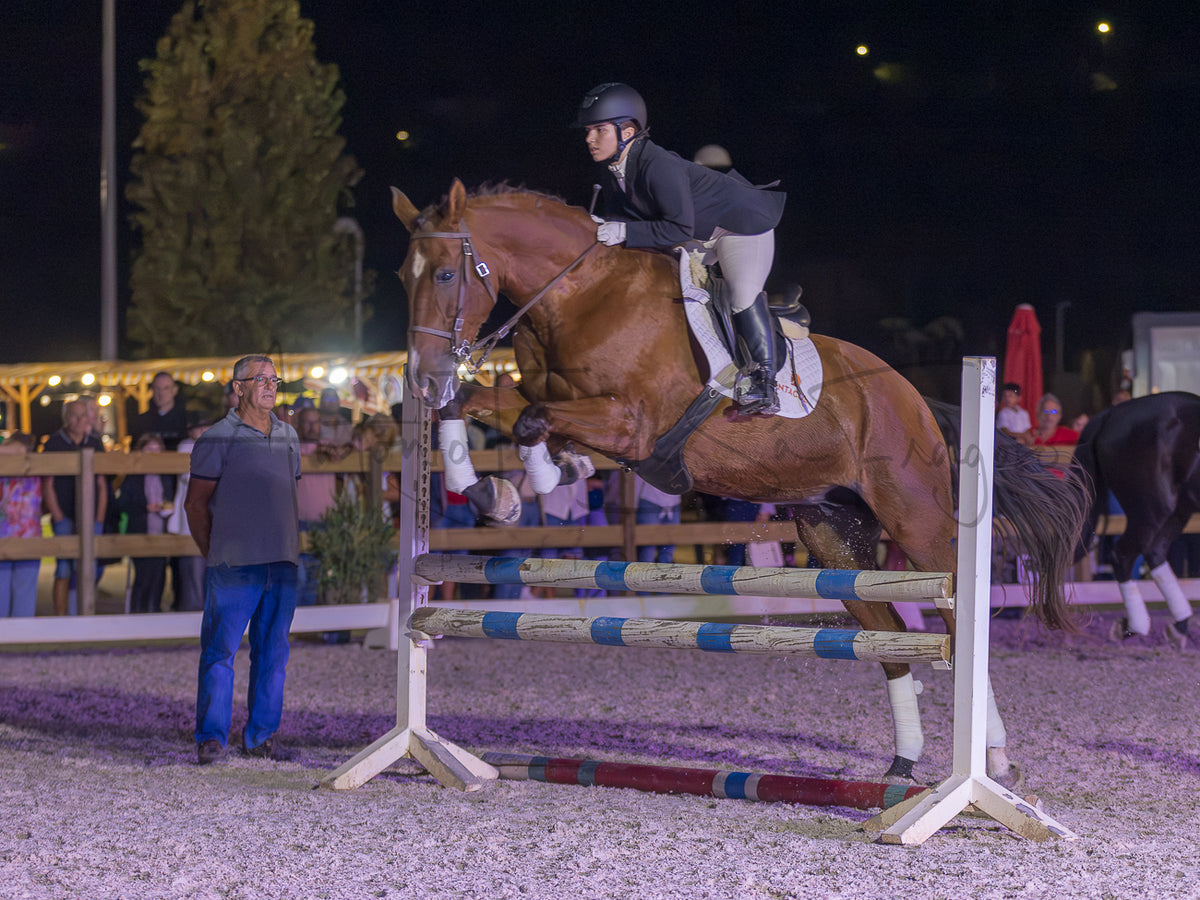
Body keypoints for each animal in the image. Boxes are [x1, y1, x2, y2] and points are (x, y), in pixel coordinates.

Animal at [392, 178, 1088, 785]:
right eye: (405, 276)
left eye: (447, 274)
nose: (421, 376)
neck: (581, 296)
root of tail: (914, 396)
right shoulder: (550, 401)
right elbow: (491, 406)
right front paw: (497, 487)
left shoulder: (632, 425)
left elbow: (534, 421)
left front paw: (531, 480)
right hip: (835, 537)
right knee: (888, 636)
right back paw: (903, 763)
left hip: (917, 522)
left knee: (954, 620)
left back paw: (995, 762)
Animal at [1071, 391, 1199, 647]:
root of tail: (1112, 413)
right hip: (1151, 509)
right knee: (1122, 555)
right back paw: (1135, 626)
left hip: (1178, 510)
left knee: (1154, 552)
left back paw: (1178, 625)